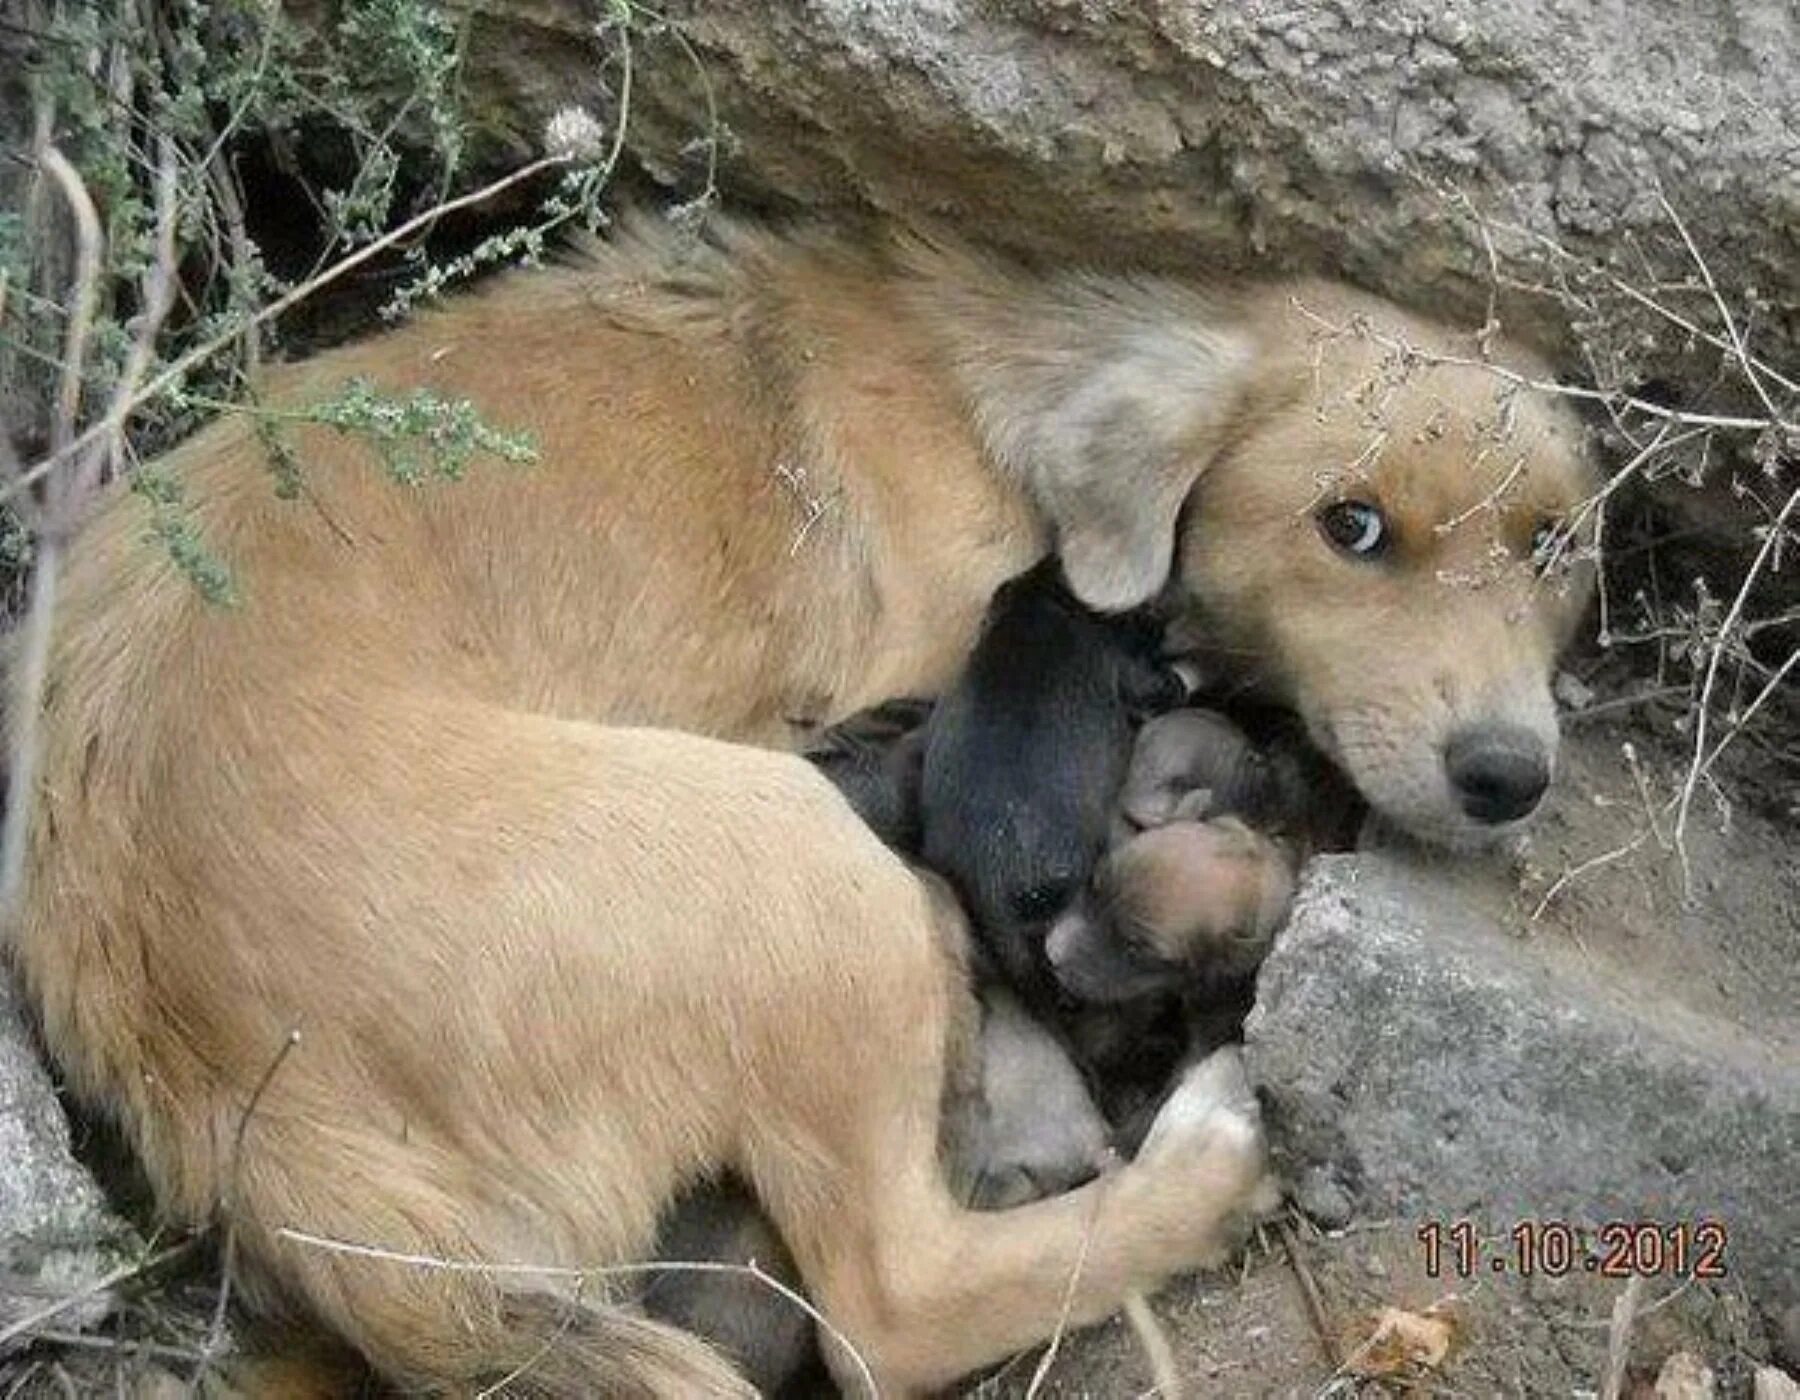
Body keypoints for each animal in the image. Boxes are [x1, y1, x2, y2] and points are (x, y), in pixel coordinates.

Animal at [7, 212, 1598, 1389]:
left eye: (1553, 544)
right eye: (1352, 525)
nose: (1509, 775)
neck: (1011, 393)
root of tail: (244, 1113)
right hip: (794, 864)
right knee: (898, 1306)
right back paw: (1207, 1157)